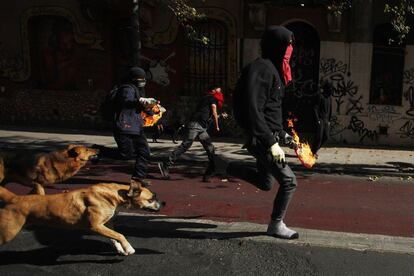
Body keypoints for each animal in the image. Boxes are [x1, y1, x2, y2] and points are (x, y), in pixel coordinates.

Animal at [0, 180, 164, 256]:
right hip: (8, 232)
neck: (115, 195)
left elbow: (114, 237)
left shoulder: (106, 224)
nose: (163, 203)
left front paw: (121, 249)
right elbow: (120, 235)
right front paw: (129, 248)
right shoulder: (95, 226)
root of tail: (15, 198)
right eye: (151, 199)